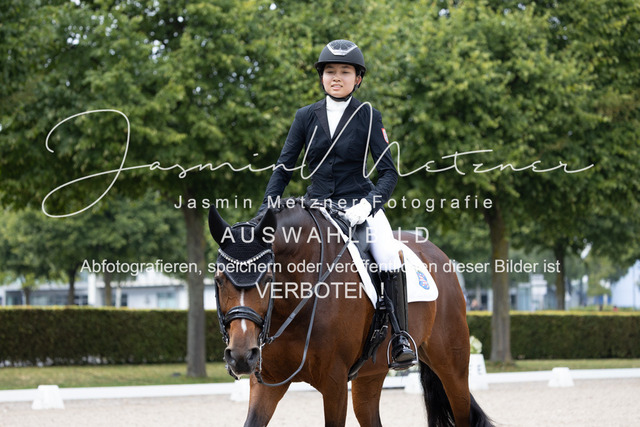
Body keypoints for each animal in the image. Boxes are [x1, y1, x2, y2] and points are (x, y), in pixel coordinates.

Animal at [208, 198, 492, 426]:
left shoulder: (334, 382)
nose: (241, 356)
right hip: (371, 374)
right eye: (219, 280)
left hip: (452, 366)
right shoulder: (267, 381)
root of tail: (437, 254)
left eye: (268, 278)